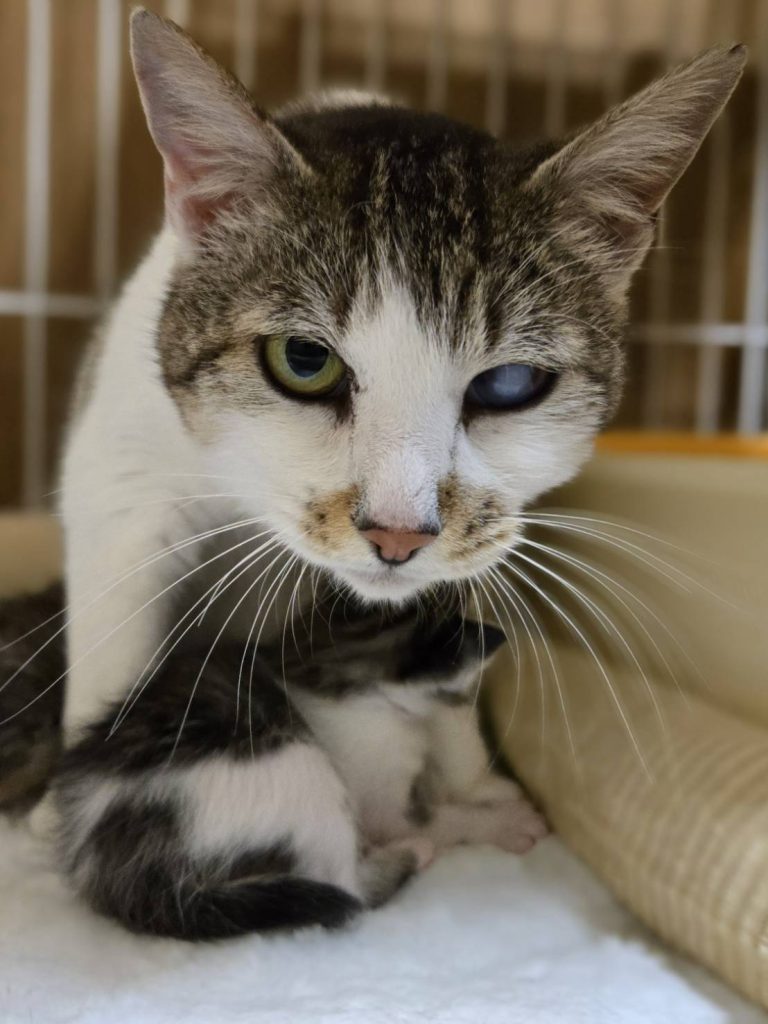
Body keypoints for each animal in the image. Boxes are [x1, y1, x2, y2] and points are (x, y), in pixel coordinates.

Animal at [43, 9, 743, 937]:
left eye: (509, 384)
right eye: (303, 361)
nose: (398, 532)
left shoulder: (476, 555)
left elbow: (450, 668)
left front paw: (478, 785)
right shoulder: (123, 468)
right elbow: (118, 626)